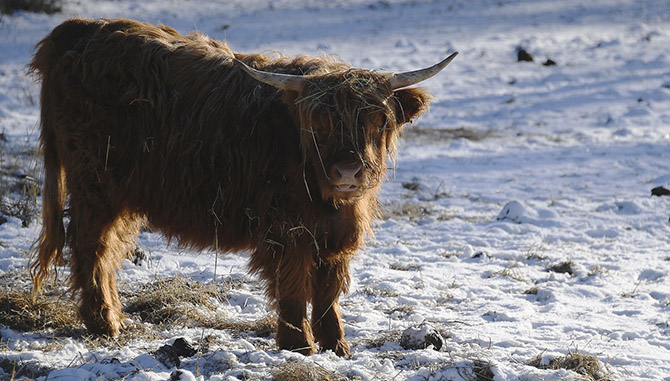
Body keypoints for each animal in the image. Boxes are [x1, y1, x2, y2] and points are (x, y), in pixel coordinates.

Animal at [27, 17, 456, 356]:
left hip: (122, 194)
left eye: (378, 120)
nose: (348, 172)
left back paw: (112, 316)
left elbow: (329, 290)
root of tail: (80, 28)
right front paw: (299, 346)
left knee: (108, 249)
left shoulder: (335, 234)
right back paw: (105, 323)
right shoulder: (287, 229)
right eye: (318, 123)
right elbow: (295, 285)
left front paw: (337, 346)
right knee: (92, 247)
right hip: (95, 185)